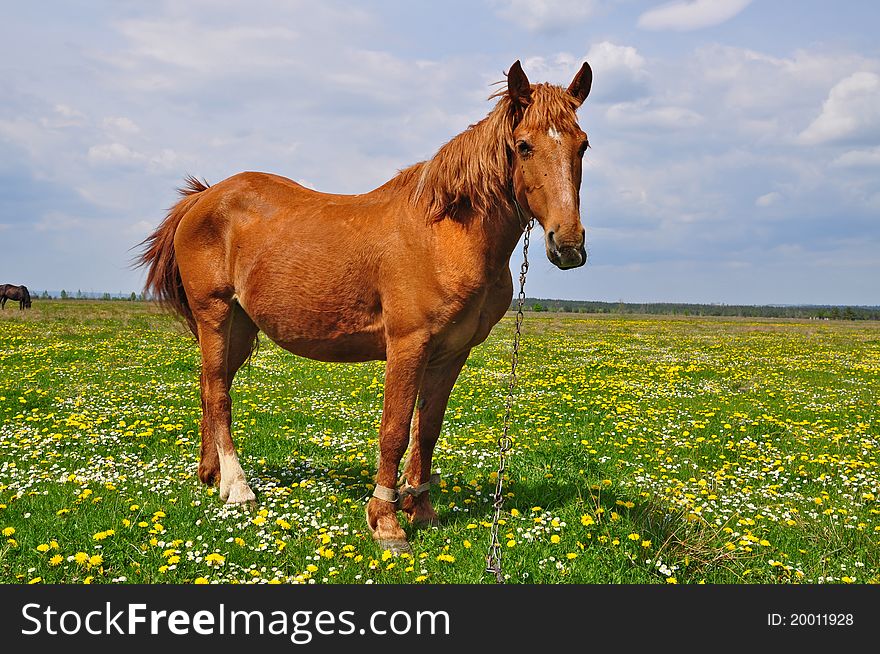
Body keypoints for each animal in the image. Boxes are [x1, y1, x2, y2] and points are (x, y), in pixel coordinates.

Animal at [139, 60, 592, 552]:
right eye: (524, 145)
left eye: (583, 145)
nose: (568, 244)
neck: (445, 233)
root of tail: (203, 197)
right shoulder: (408, 345)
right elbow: (395, 429)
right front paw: (386, 520)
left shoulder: (451, 353)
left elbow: (427, 430)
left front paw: (422, 510)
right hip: (215, 315)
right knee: (219, 394)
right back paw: (237, 486)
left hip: (239, 328)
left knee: (209, 386)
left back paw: (211, 475)